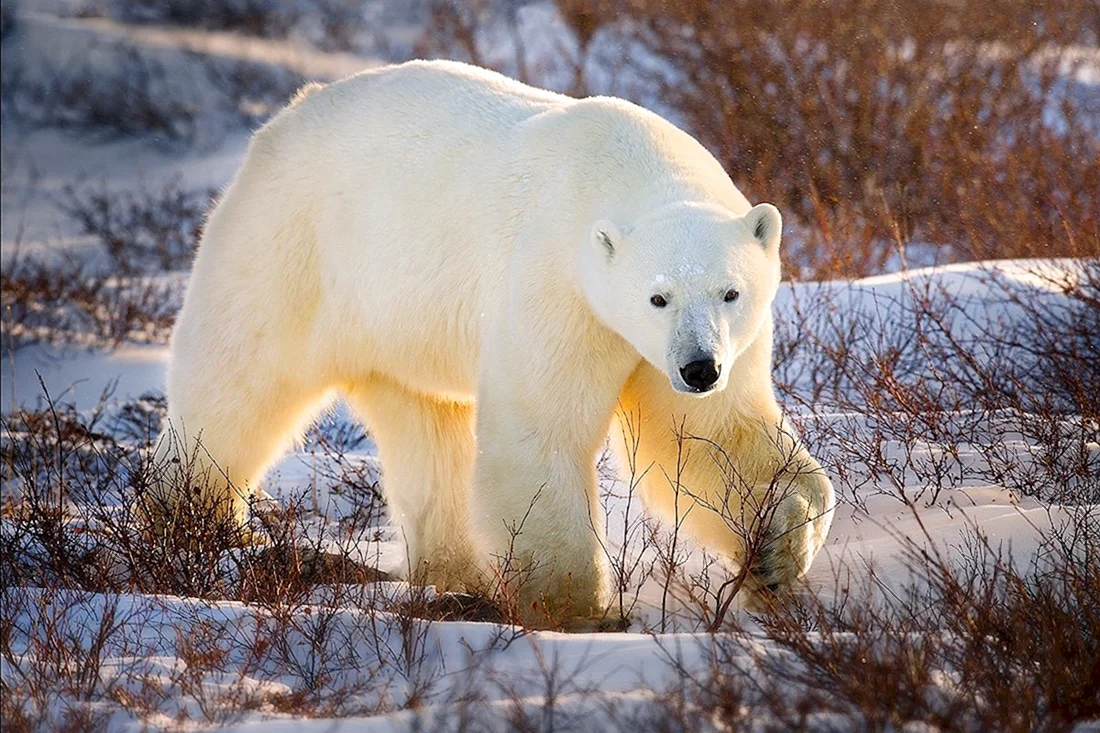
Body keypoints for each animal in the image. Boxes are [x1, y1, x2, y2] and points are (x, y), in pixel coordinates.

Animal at [157, 58, 831, 616]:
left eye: (730, 292)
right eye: (657, 297)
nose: (698, 368)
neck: (627, 168)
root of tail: (290, 113)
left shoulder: (709, 347)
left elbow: (713, 436)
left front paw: (775, 556)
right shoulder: (559, 287)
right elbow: (540, 435)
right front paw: (577, 609)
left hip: (403, 324)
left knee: (427, 428)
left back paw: (458, 572)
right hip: (291, 248)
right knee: (236, 384)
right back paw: (190, 527)